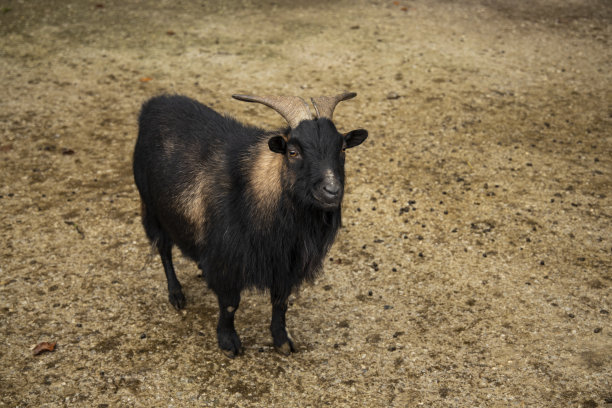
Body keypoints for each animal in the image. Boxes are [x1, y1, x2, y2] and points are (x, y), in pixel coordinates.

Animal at [131, 92, 366, 356]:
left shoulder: (285, 263)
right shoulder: (229, 260)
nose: (332, 191)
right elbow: (230, 304)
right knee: (163, 249)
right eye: (293, 152)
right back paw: (176, 294)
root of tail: (153, 103)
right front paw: (228, 342)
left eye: (343, 148)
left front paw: (282, 340)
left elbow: (280, 303)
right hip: (152, 207)